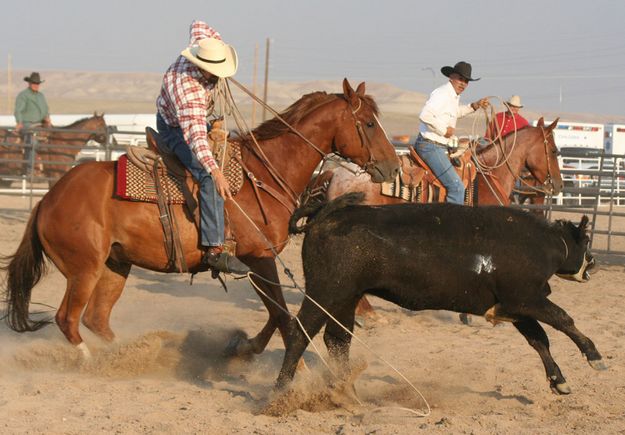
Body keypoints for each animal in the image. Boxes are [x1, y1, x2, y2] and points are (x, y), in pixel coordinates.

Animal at [0, 80, 400, 360]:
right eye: (368, 123)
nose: (393, 166)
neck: (264, 173)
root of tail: (47, 200)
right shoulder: (258, 257)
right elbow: (284, 317)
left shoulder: (257, 262)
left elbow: (276, 315)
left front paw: (244, 349)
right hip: (84, 268)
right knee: (67, 319)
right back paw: (93, 362)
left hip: (115, 265)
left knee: (95, 319)